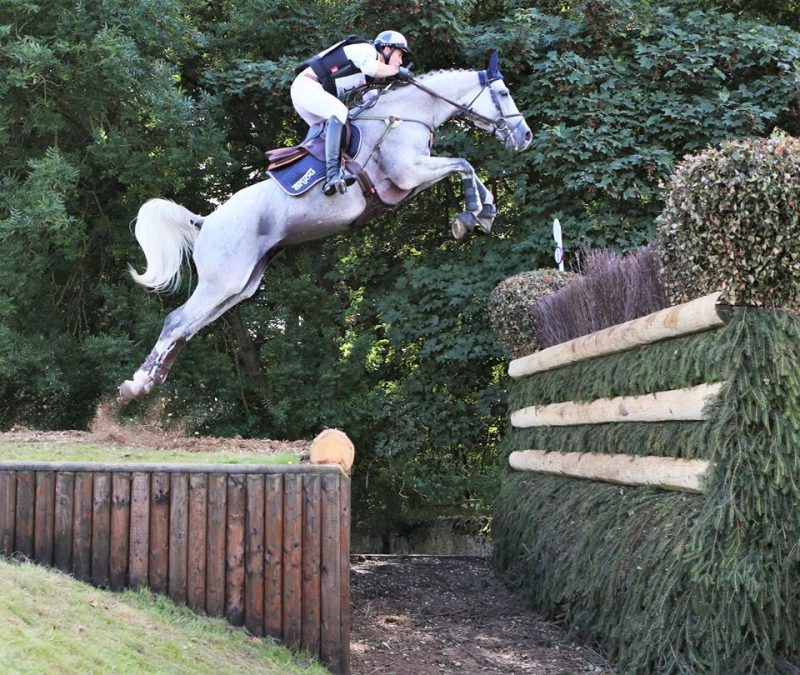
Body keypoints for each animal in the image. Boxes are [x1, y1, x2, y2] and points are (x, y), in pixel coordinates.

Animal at [118, 52, 532, 403]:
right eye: (504, 93)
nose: (525, 136)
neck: (409, 113)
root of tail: (206, 221)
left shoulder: (407, 183)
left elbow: (465, 168)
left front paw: (483, 212)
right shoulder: (408, 171)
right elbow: (463, 163)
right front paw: (471, 215)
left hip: (240, 285)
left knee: (188, 327)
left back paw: (149, 383)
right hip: (223, 280)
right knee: (176, 321)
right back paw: (134, 387)